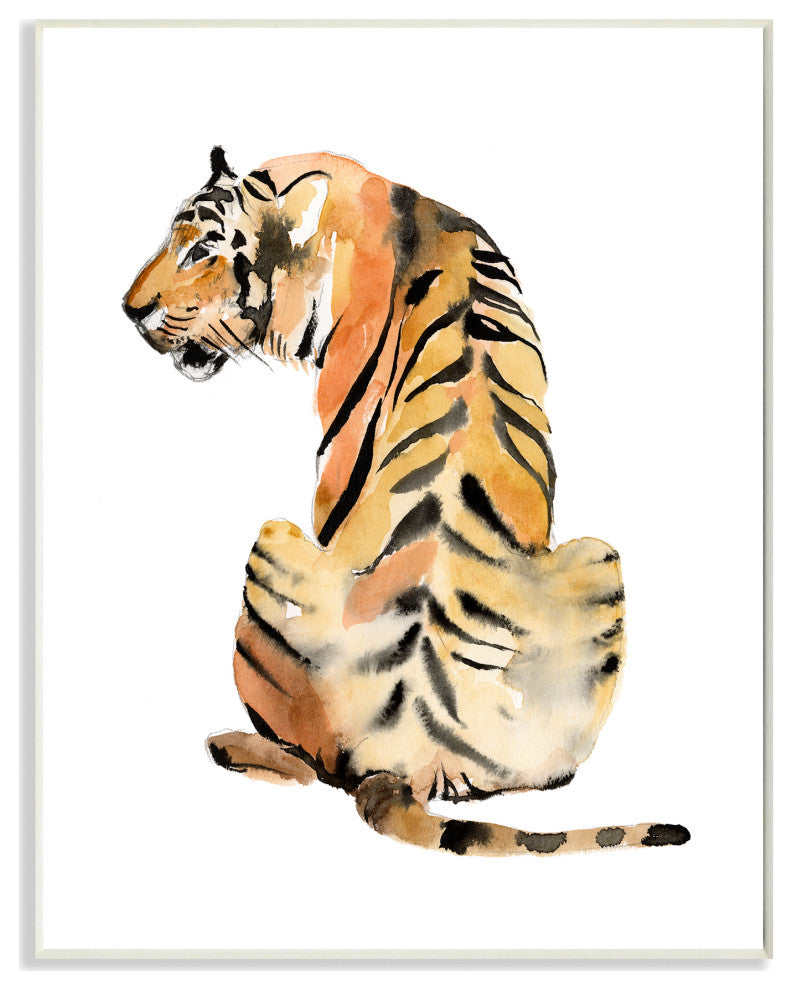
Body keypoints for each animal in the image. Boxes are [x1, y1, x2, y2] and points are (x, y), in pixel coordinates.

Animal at [123, 147, 689, 856]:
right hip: (596, 566)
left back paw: (232, 745)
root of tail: (410, 752)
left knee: (313, 767)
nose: (127, 309)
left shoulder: (333, 472)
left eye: (201, 249)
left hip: (272, 541)